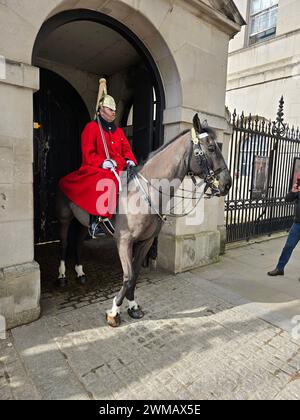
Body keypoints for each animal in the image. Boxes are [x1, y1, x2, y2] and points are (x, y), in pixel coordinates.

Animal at [55, 115, 231, 328]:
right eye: (211, 148)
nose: (227, 183)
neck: (145, 194)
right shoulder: (124, 241)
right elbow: (128, 275)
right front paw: (114, 311)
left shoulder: (145, 242)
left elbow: (136, 274)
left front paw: (132, 306)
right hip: (64, 217)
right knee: (64, 244)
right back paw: (62, 276)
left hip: (82, 222)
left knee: (78, 243)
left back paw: (80, 273)